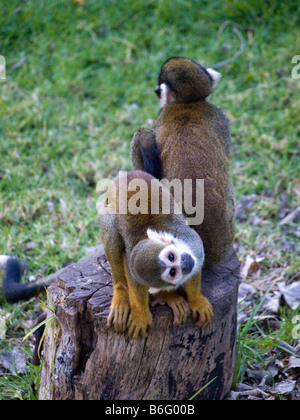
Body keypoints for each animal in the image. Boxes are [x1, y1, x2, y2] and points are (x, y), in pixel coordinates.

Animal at [99, 170, 213, 338]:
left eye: (171, 256)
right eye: (172, 272)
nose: (186, 262)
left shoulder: (193, 244)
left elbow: (196, 268)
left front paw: (196, 299)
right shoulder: (132, 257)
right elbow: (134, 278)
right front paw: (140, 312)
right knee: (111, 224)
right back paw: (121, 290)